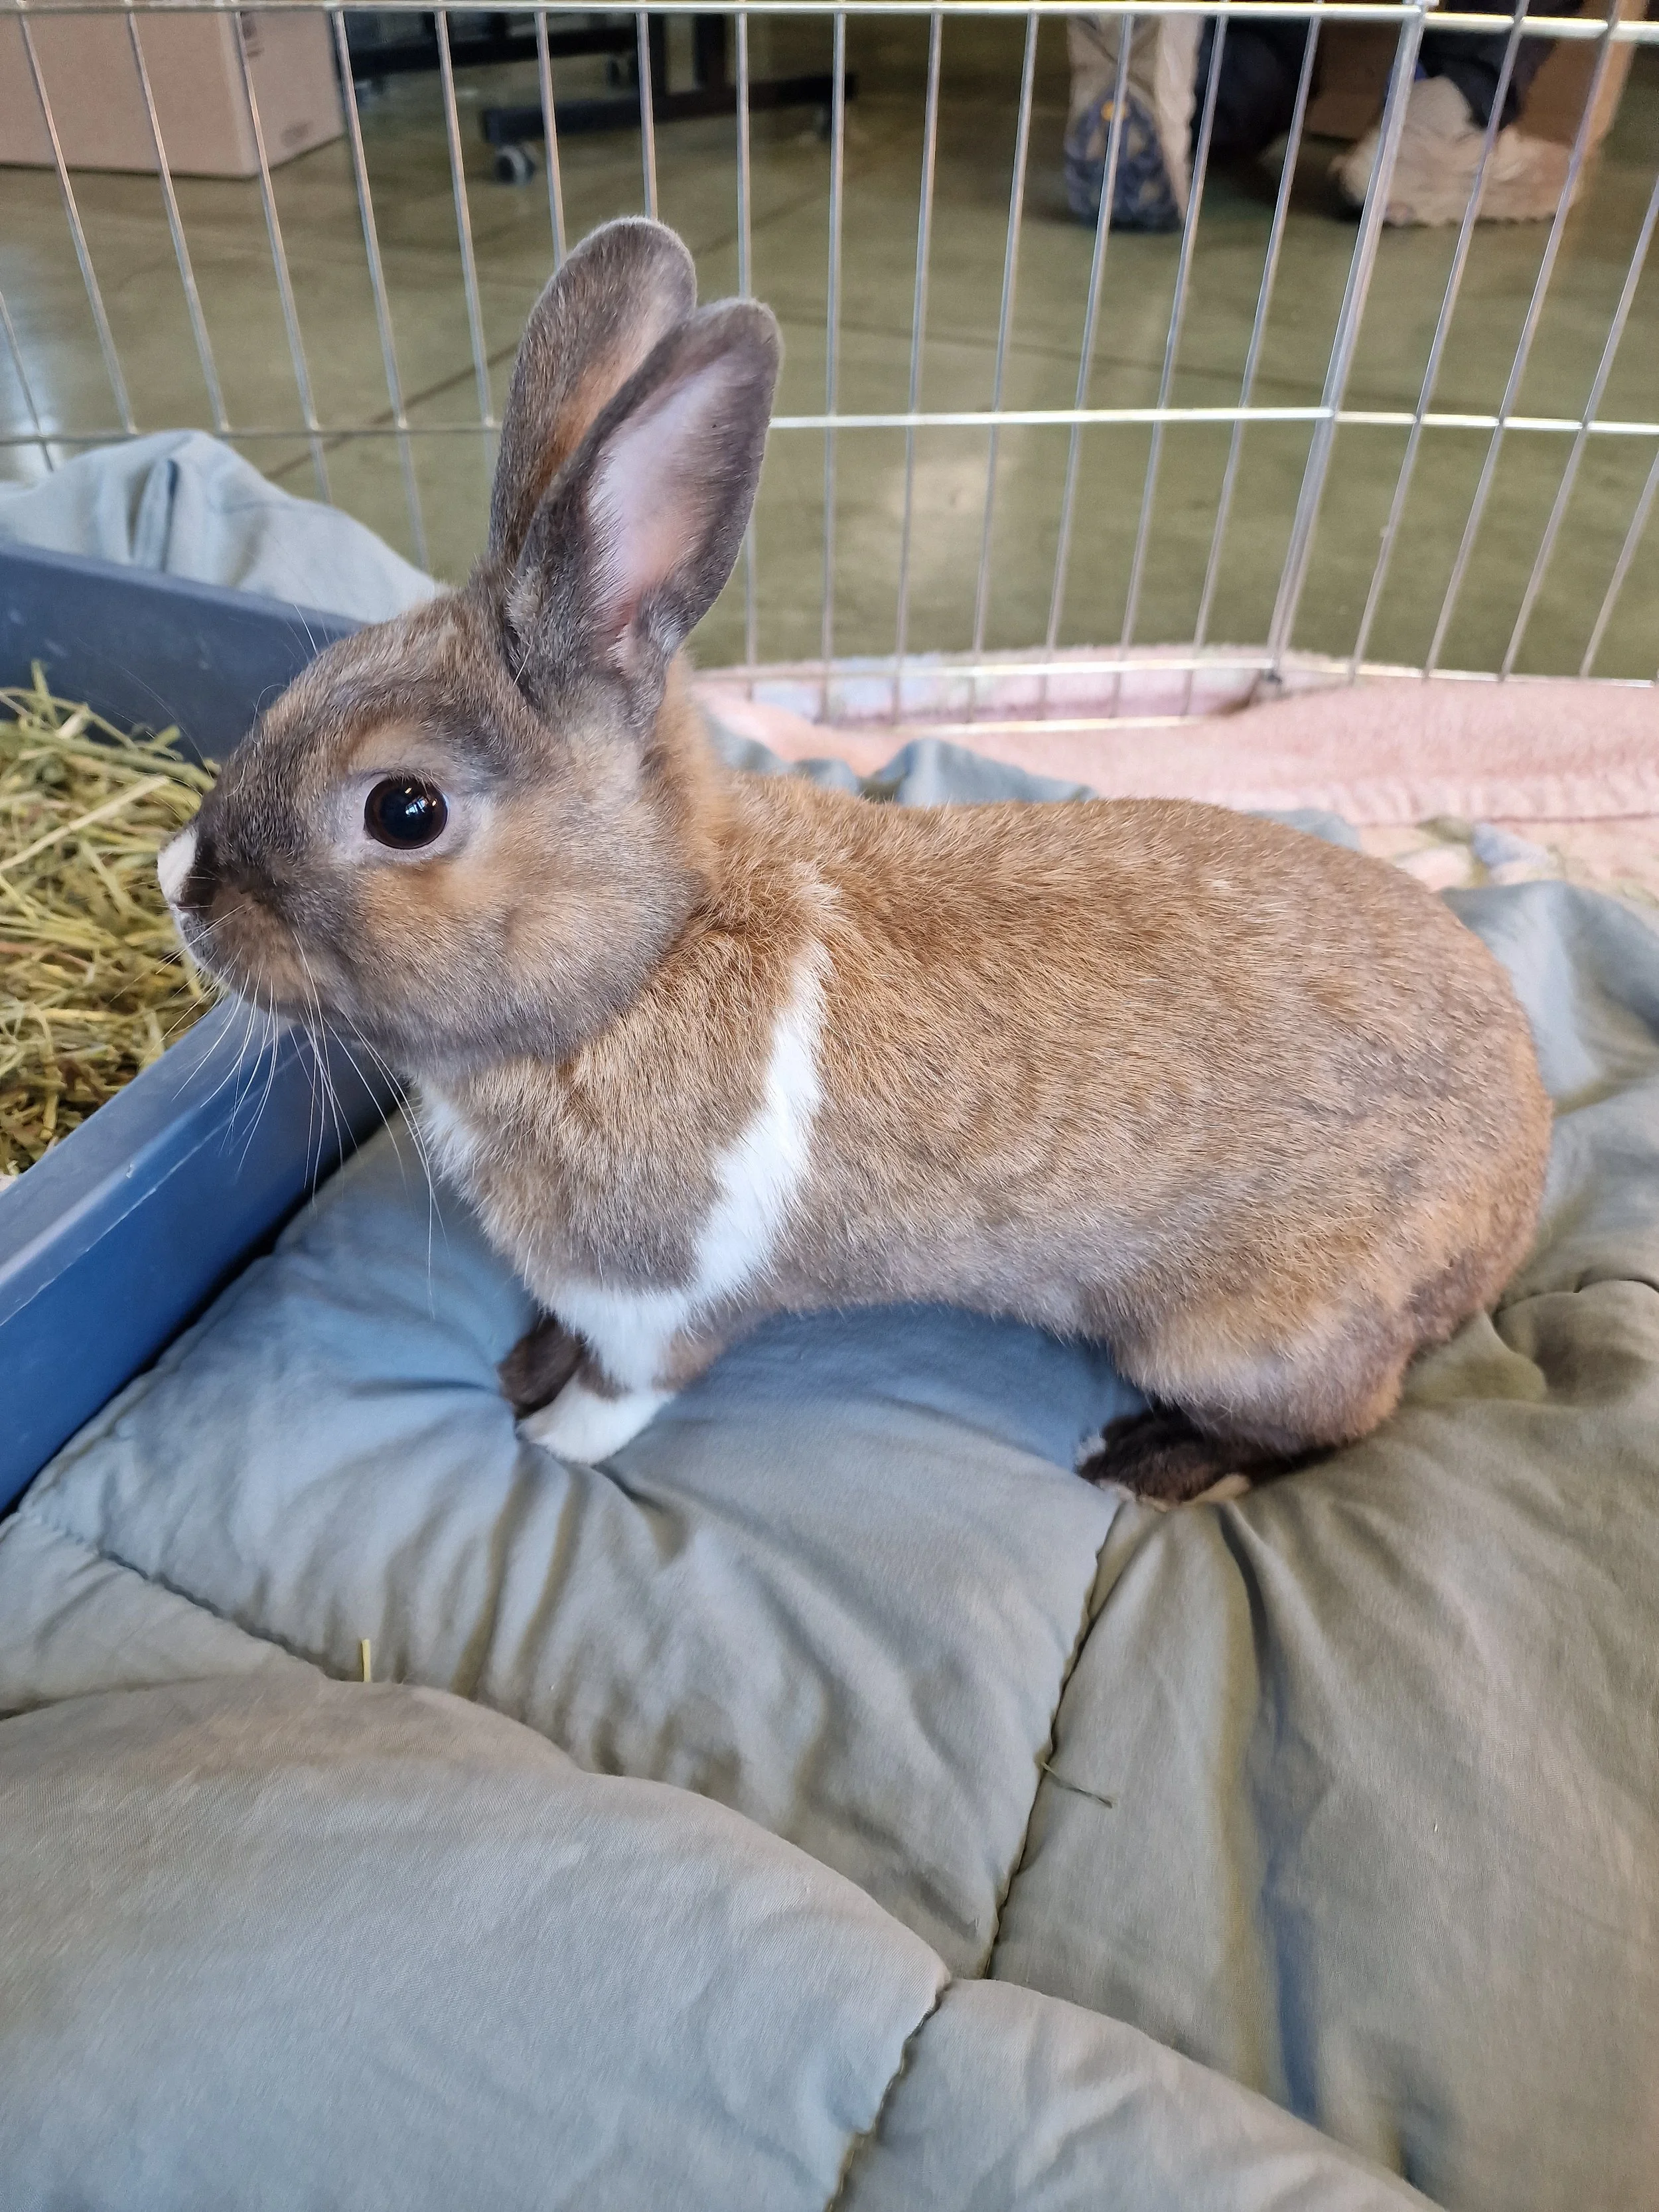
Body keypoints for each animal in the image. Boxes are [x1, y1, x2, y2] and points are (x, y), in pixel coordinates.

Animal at [158, 215, 1552, 1507]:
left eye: (404, 808)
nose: (183, 883)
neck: (645, 959)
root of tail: (1516, 1205)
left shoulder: (662, 1296)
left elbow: (627, 1391)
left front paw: (547, 1435)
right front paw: (519, 1368)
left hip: (1237, 1336)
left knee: (1329, 1425)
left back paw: (1142, 1459)